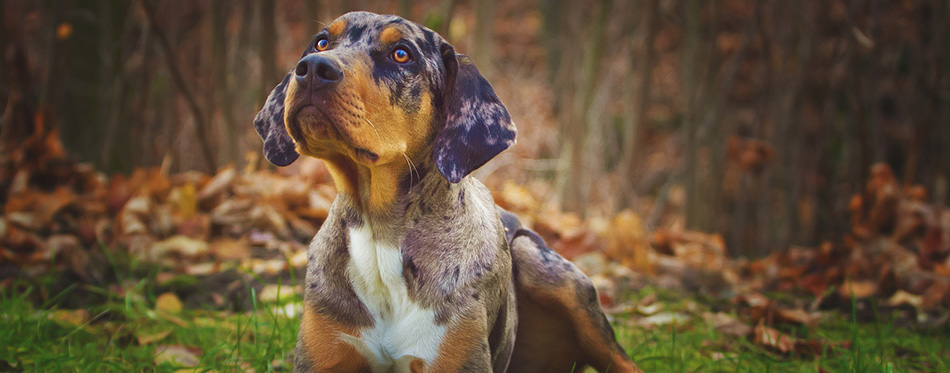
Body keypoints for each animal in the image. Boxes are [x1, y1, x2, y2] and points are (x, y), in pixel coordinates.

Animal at [253, 11, 644, 372]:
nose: (313, 68)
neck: (379, 232)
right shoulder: (324, 352)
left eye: (401, 54)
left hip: (549, 269)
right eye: (321, 43)